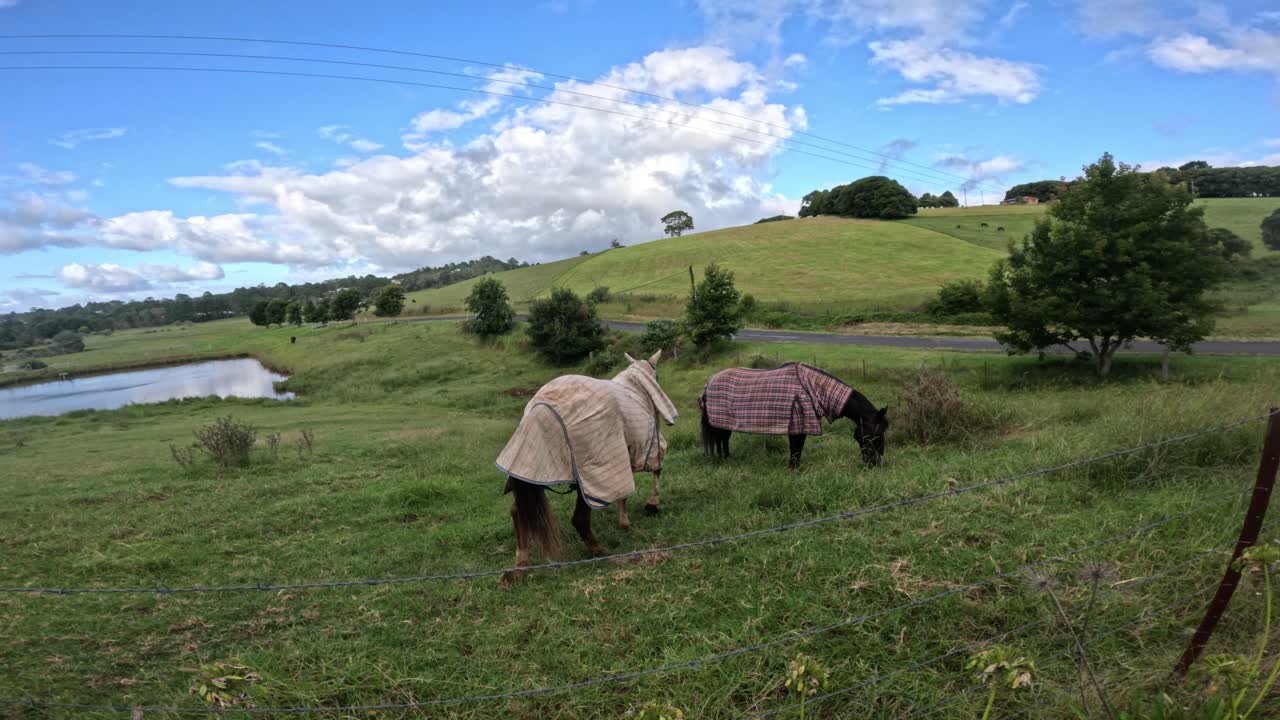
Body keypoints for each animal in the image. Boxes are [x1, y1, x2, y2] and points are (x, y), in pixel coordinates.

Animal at [495, 350, 677, 583]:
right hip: (589, 473)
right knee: (579, 519)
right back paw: (600, 552)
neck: (636, 388)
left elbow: (624, 494)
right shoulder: (647, 446)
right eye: (658, 377)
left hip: (534, 471)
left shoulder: (624, 454)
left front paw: (625, 522)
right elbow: (654, 472)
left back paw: (520, 564)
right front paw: (650, 506)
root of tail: (541, 407)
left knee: (518, 512)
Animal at [698, 362, 887, 469]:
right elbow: (796, 448)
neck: (811, 387)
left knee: (723, 438)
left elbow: (797, 449)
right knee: (721, 438)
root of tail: (709, 382)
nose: (874, 463)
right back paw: (723, 459)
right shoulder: (798, 423)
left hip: (724, 422)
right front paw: (794, 468)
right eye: (875, 435)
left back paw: (726, 458)